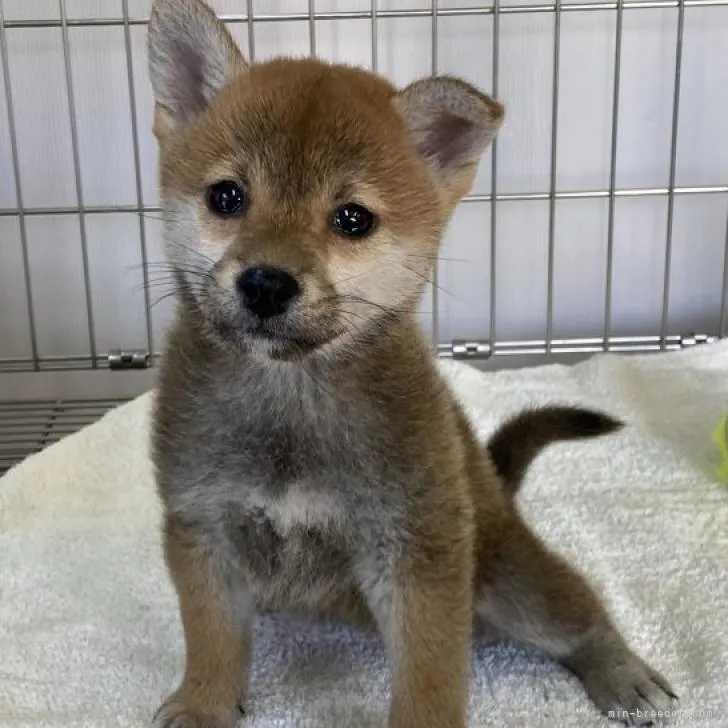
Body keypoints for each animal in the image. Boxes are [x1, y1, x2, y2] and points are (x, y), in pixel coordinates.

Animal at [148, 2, 676, 724]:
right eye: (226, 197)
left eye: (353, 219)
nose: (266, 284)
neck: (291, 402)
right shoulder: (202, 531)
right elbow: (213, 639)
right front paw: (204, 704)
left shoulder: (419, 554)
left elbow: (429, 675)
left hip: (511, 580)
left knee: (580, 615)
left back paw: (623, 673)